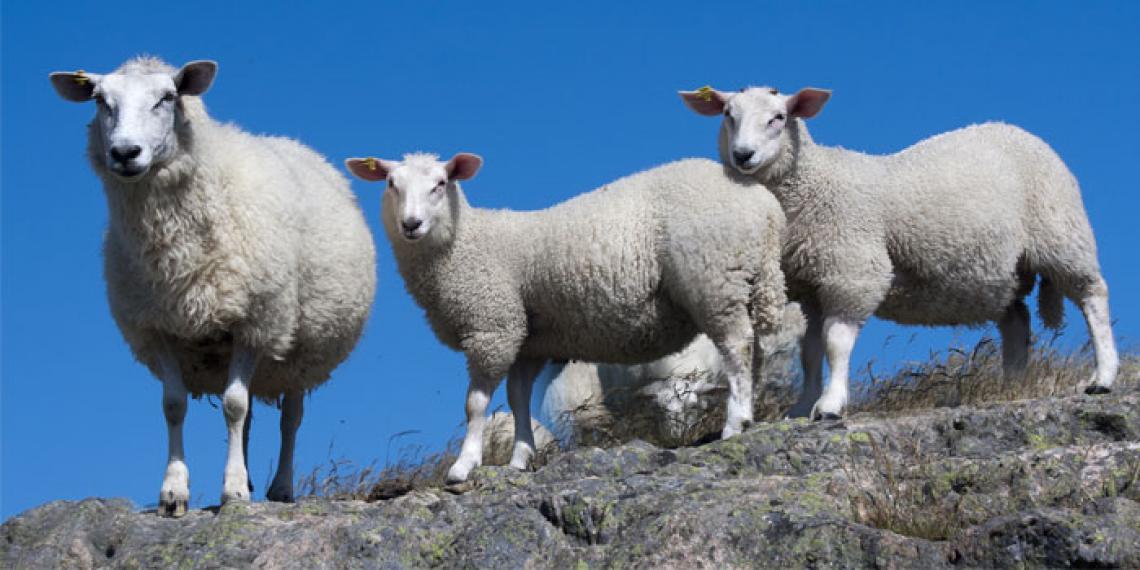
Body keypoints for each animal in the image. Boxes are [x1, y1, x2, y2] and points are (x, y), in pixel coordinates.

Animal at [51, 57, 376, 517]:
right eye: (100, 100)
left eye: (167, 97)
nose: (125, 153)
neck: (174, 252)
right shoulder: (157, 327)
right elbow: (174, 406)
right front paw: (174, 492)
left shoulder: (253, 324)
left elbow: (234, 405)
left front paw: (233, 492)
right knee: (250, 415)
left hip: (299, 351)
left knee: (288, 418)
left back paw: (280, 487)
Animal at [346, 152, 788, 481]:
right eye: (391, 184)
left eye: (440, 184)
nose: (411, 224)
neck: (463, 243)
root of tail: (765, 208)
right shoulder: (529, 340)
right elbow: (518, 399)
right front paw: (520, 458)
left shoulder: (493, 327)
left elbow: (475, 404)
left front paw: (463, 466)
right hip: (748, 281)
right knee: (755, 352)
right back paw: (752, 413)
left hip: (714, 280)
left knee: (736, 346)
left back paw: (734, 423)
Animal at [679, 83, 1117, 419]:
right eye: (728, 115)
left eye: (778, 118)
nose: (743, 156)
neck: (811, 185)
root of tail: (1016, 129)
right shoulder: (813, 284)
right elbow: (811, 350)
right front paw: (802, 407)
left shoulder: (852, 271)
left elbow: (836, 342)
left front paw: (831, 405)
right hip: (996, 272)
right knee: (1016, 322)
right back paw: (1012, 384)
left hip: (1060, 235)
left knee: (1093, 297)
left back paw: (1103, 377)